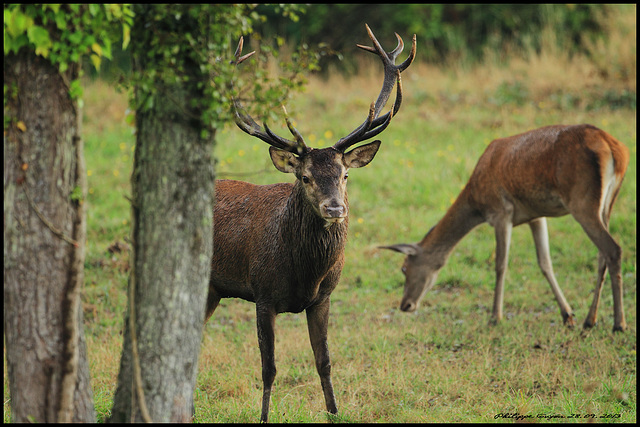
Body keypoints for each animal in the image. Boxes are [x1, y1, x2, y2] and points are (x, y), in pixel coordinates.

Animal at [208, 26, 416, 424]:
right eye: (305, 177)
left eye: (345, 174)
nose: (335, 207)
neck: (304, 273)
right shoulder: (262, 294)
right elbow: (269, 367)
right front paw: (263, 418)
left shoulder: (324, 297)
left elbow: (325, 362)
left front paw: (335, 413)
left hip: (212, 289)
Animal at [382, 125, 628, 332]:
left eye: (404, 267)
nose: (405, 305)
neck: (476, 201)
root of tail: (615, 149)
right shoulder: (536, 215)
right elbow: (545, 262)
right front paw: (567, 315)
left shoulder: (501, 212)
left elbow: (500, 265)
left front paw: (495, 317)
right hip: (607, 203)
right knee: (602, 255)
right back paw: (590, 320)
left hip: (582, 202)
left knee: (613, 249)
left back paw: (619, 324)